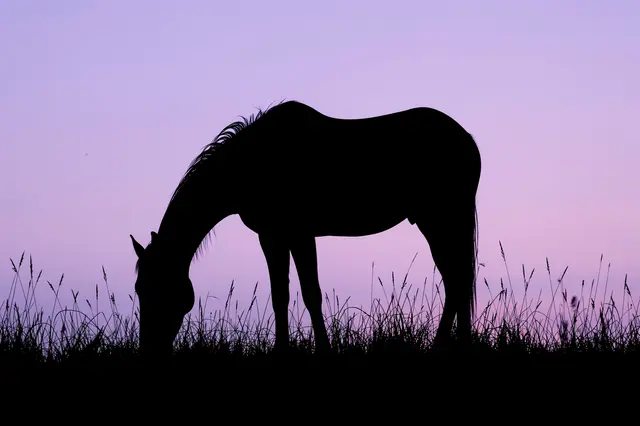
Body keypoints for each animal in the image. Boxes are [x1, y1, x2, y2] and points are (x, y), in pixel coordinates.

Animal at [130, 100, 482, 358]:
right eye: (138, 289)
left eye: (157, 288)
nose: (148, 351)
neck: (253, 162)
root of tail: (466, 139)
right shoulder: (272, 236)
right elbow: (280, 294)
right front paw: (282, 352)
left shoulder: (298, 234)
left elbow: (310, 293)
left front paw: (322, 352)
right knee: (458, 279)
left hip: (441, 219)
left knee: (457, 279)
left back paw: (443, 348)